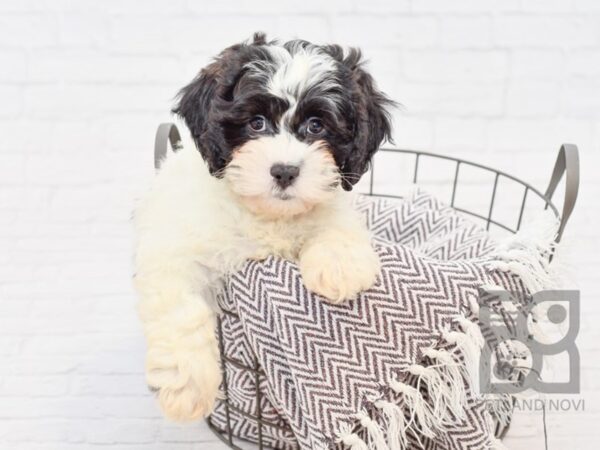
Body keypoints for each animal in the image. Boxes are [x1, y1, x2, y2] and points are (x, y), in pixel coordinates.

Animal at [133, 32, 394, 422]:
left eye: (316, 126)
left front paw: (340, 267)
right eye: (256, 123)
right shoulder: (174, 250)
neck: (266, 216)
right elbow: (181, 310)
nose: (284, 171)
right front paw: (187, 385)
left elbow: (335, 222)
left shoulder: (331, 203)